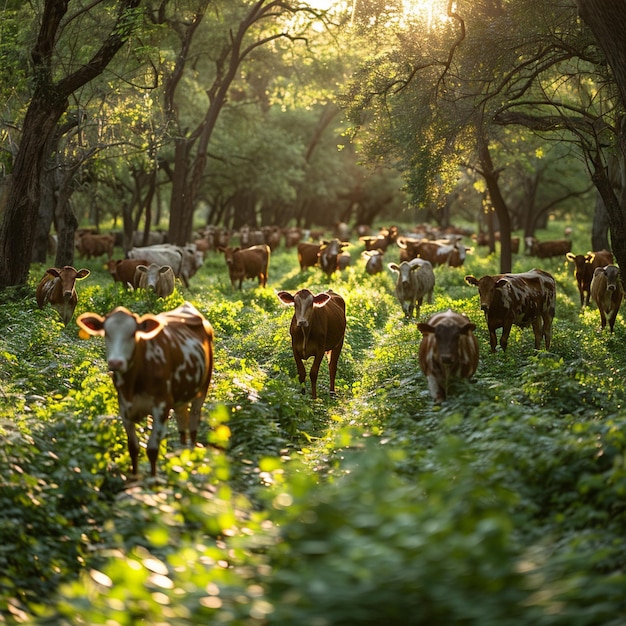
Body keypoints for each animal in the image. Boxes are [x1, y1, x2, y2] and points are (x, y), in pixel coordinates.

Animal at [74, 302, 212, 472]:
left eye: (133, 334)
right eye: (107, 333)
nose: (116, 362)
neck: (134, 382)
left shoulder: (161, 406)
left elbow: (152, 450)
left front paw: (152, 479)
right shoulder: (124, 408)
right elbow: (133, 448)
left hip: (203, 388)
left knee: (194, 420)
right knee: (182, 419)